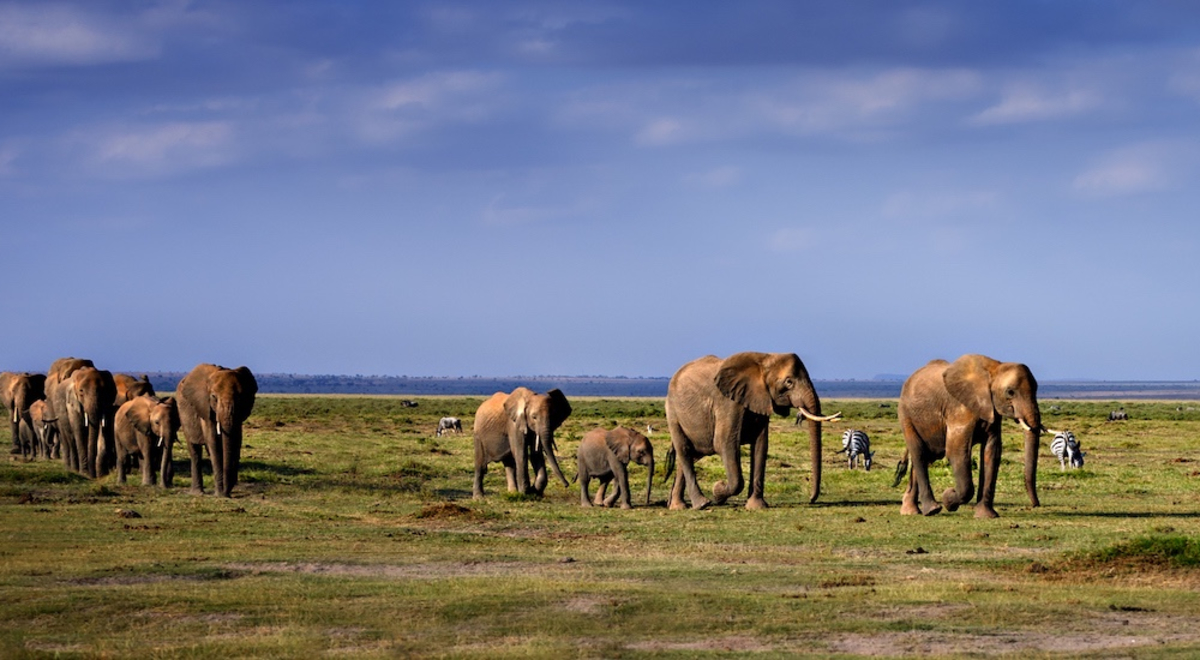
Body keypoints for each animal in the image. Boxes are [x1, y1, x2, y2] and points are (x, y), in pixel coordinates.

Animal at [177, 364, 258, 497]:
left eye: (241, 397)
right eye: (214, 397)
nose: (226, 493)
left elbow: (237, 440)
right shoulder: (204, 406)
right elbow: (213, 441)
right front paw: (220, 494)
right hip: (183, 415)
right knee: (195, 450)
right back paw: (197, 493)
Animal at [665, 352, 840, 510]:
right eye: (789, 382)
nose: (811, 499)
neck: (764, 359)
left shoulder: (761, 400)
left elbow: (760, 445)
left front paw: (756, 507)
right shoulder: (728, 402)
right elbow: (724, 444)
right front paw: (717, 491)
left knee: (688, 456)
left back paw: (677, 506)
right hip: (672, 412)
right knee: (684, 450)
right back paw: (701, 504)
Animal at [895, 354, 1046, 519]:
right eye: (1010, 392)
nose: (1036, 504)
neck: (993, 369)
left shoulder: (991, 411)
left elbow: (991, 452)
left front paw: (986, 516)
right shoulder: (960, 408)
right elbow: (956, 451)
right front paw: (948, 498)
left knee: (927, 457)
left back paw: (910, 511)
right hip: (906, 416)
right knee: (919, 454)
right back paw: (932, 509)